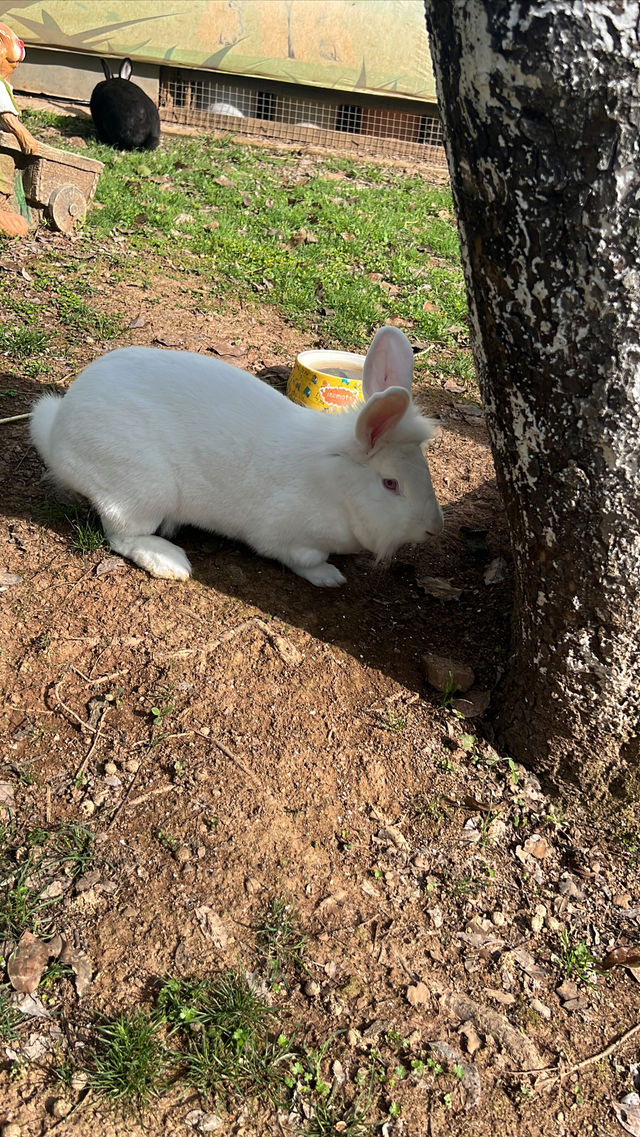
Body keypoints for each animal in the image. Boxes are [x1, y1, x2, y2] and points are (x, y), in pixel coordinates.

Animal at [30, 322, 441, 582]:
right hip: (140, 491)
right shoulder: (287, 538)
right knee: (121, 536)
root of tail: (58, 433)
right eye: (391, 484)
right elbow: (304, 559)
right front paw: (330, 576)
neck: (337, 483)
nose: (432, 529)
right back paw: (172, 562)